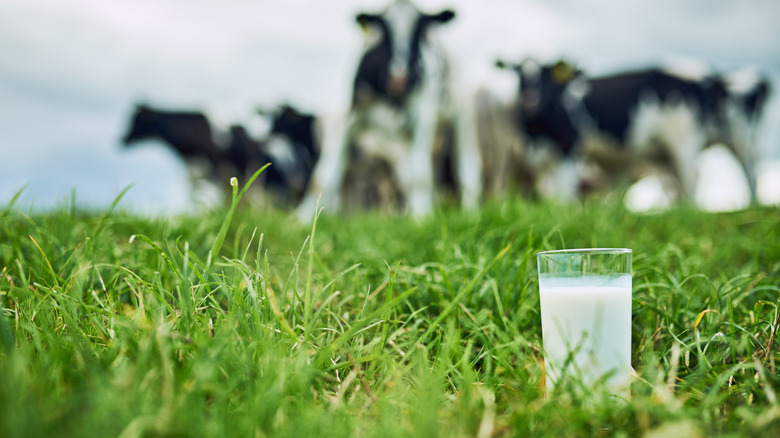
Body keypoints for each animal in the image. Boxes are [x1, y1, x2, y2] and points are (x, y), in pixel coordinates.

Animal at [294, 0, 482, 221]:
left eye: (420, 28)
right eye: (384, 29)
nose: (399, 79)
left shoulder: (423, 116)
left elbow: (420, 175)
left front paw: (422, 218)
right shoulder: (347, 118)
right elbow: (321, 178)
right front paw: (301, 218)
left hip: (461, 115)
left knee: (467, 164)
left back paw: (470, 211)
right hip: (397, 145)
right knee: (406, 176)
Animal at [494, 58, 768, 204]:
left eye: (544, 75)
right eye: (518, 75)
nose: (530, 100)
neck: (536, 131)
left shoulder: (569, 148)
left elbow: (564, 192)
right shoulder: (541, 158)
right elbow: (548, 192)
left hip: (697, 138)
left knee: (712, 173)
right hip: (667, 153)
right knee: (679, 183)